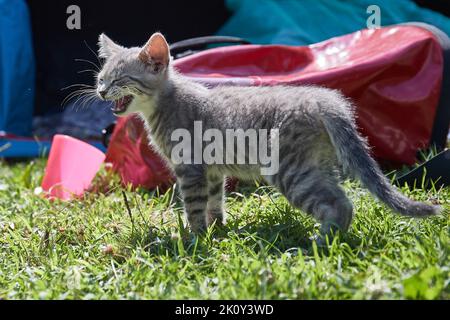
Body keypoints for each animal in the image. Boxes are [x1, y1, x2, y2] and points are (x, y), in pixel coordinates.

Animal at [94, 32, 440, 238]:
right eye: (101, 78)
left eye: (120, 80)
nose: (100, 92)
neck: (165, 103)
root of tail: (324, 99)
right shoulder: (211, 171)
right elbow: (214, 201)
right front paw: (217, 228)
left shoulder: (190, 169)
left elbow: (193, 206)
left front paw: (195, 239)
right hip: (318, 164)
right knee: (341, 198)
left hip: (291, 171)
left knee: (340, 203)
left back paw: (323, 241)